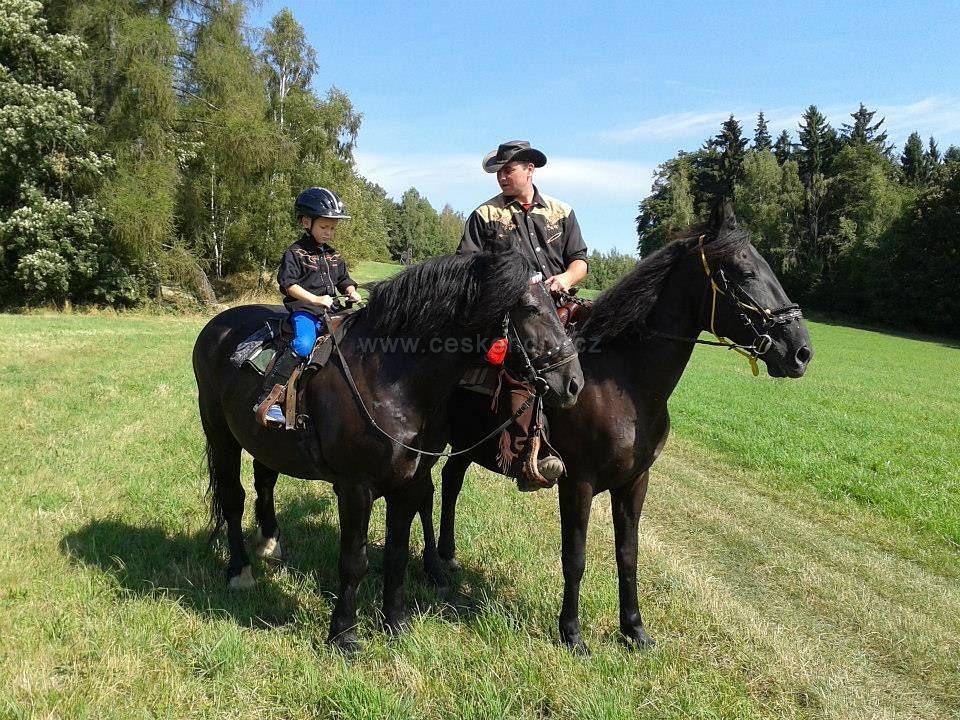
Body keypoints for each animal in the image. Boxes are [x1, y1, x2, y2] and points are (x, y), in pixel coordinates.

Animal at [192, 247, 583, 652]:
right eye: (530, 308)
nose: (573, 383)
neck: (391, 379)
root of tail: (217, 326)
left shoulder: (408, 485)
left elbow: (396, 555)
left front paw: (394, 624)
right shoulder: (355, 488)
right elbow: (354, 561)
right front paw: (343, 635)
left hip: (263, 443)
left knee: (264, 481)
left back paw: (270, 542)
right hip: (220, 435)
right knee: (232, 500)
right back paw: (239, 571)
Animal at [425, 206, 813, 653]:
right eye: (745, 272)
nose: (801, 351)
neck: (625, 382)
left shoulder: (634, 482)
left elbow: (628, 554)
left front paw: (634, 629)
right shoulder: (577, 484)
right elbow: (574, 557)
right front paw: (572, 633)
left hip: (469, 445)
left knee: (451, 482)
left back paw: (448, 556)